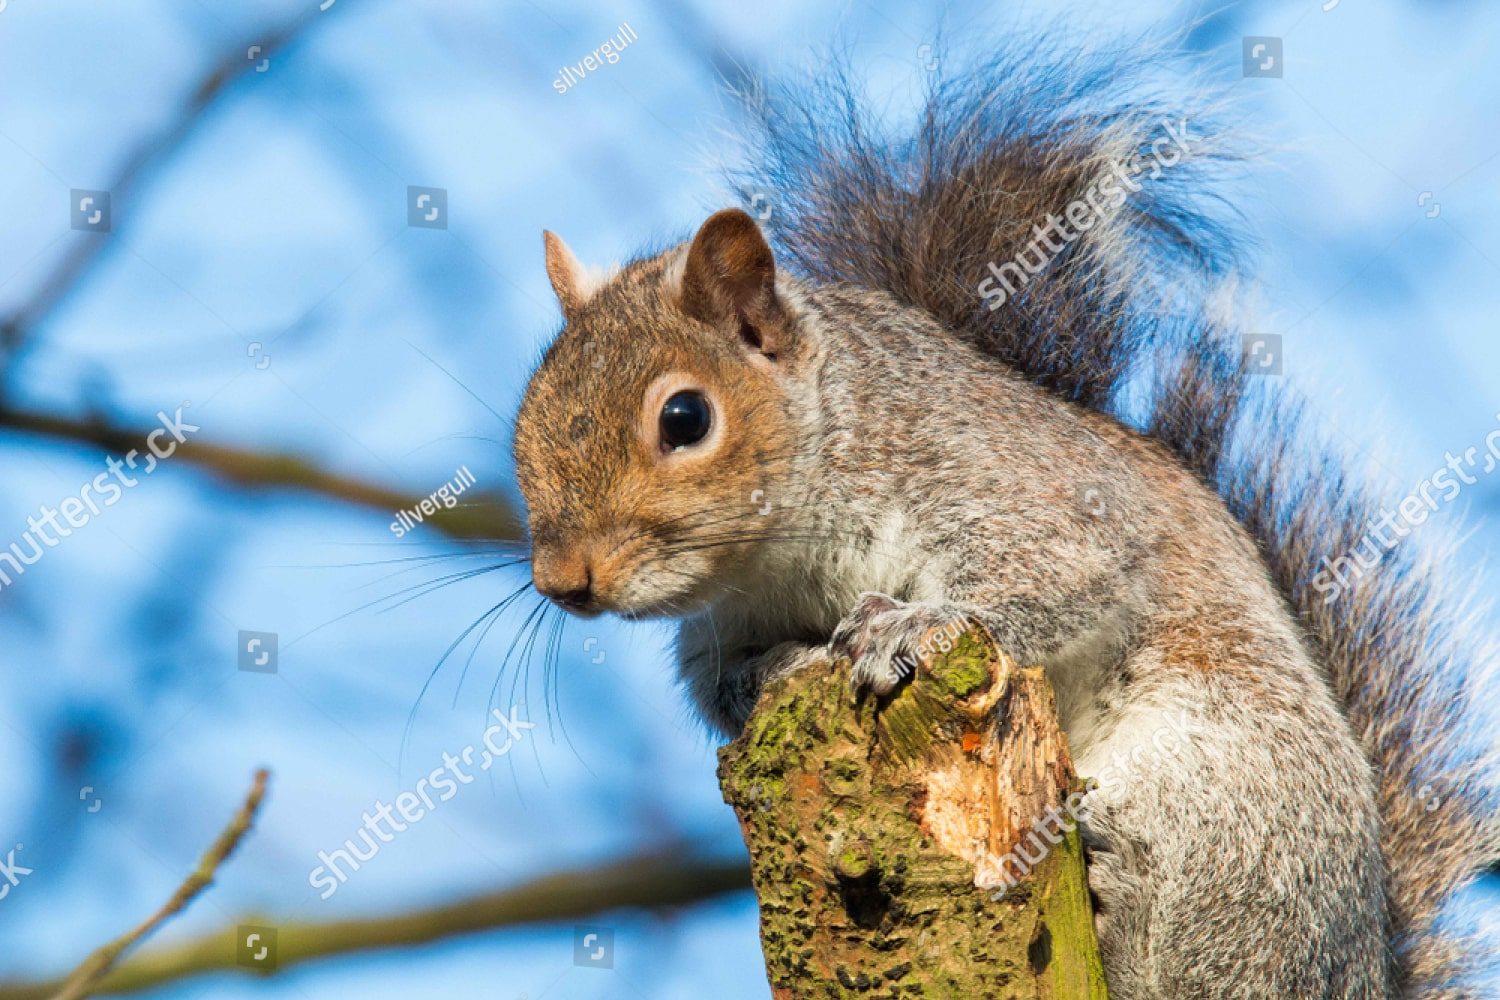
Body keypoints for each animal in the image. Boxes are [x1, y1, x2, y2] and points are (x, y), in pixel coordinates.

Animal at [511, 37, 1499, 1000]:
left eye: (685, 418)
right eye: (525, 419)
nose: (563, 584)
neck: (786, 546)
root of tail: (1362, 973)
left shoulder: (1026, 492)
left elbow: (1051, 581)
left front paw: (910, 623)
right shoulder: (722, 621)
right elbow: (717, 685)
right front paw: (782, 669)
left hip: (1237, 811)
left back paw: (1125, 904)